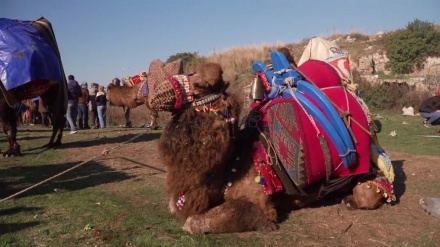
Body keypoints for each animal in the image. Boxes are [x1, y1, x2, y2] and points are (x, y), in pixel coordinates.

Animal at [0, 17, 67, 156]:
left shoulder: (4, 95)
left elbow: (8, 124)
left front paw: (12, 151)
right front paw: (13, 150)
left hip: (56, 87)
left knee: (58, 117)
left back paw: (53, 143)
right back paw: (53, 142)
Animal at [150, 61, 396, 233]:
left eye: (199, 84)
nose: (156, 94)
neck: (232, 164)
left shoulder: (260, 205)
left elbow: (192, 222)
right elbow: (174, 206)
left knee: (369, 188)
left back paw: (353, 198)